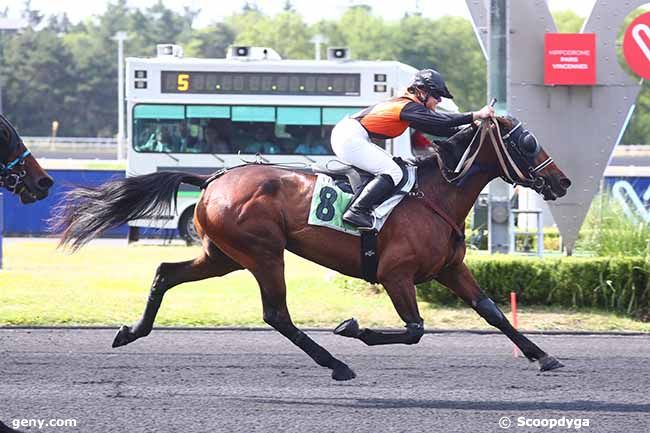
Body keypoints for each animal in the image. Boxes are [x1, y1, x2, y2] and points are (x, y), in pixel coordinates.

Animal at [52, 116, 568, 380]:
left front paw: (543, 355)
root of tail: (213, 178)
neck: (435, 195)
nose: (562, 181)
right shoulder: (395, 275)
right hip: (263, 253)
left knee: (164, 271)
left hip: (222, 256)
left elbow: (493, 312)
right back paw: (336, 363)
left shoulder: (449, 270)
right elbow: (415, 329)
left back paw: (131, 331)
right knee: (277, 314)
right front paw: (353, 327)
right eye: (527, 141)